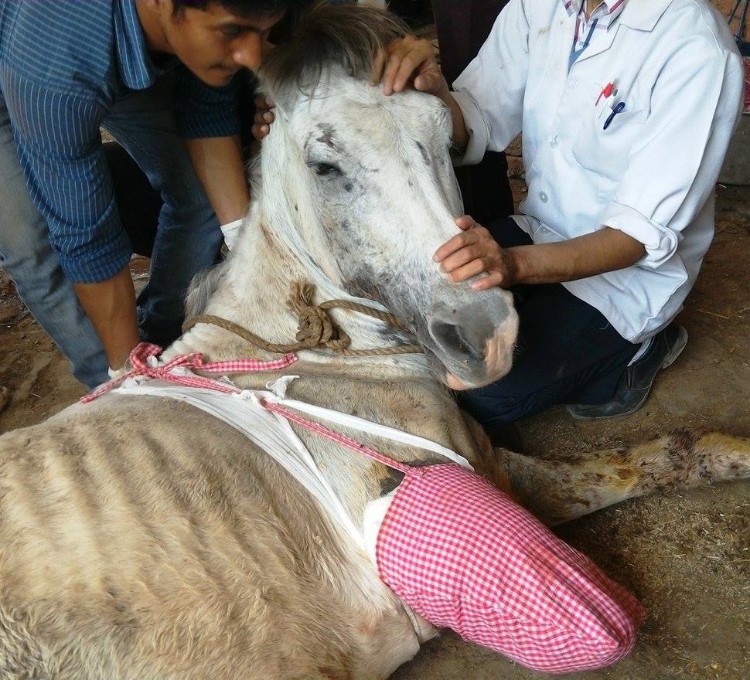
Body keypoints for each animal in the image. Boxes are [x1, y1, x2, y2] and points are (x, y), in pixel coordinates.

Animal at [1, 5, 750, 680]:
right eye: (325, 166)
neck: (307, 354)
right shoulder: (489, 476)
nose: (487, 335)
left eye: (443, 136)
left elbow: (662, 453)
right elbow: (646, 461)